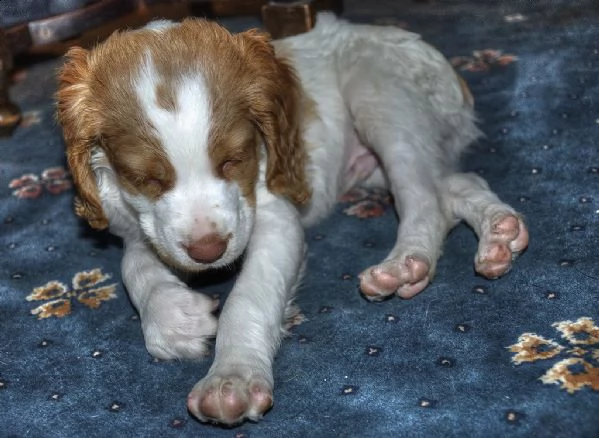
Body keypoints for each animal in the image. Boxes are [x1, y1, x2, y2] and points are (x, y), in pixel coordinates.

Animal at [55, 14, 524, 428]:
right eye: (146, 178)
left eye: (234, 159)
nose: (208, 252)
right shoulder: (139, 220)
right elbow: (134, 264)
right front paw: (174, 318)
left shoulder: (275, 215)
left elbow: (248, 297)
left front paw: (232, 379)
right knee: (456, 182)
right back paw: (499, 234)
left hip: (382, 96)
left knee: (426, 198)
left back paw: (405, 266)